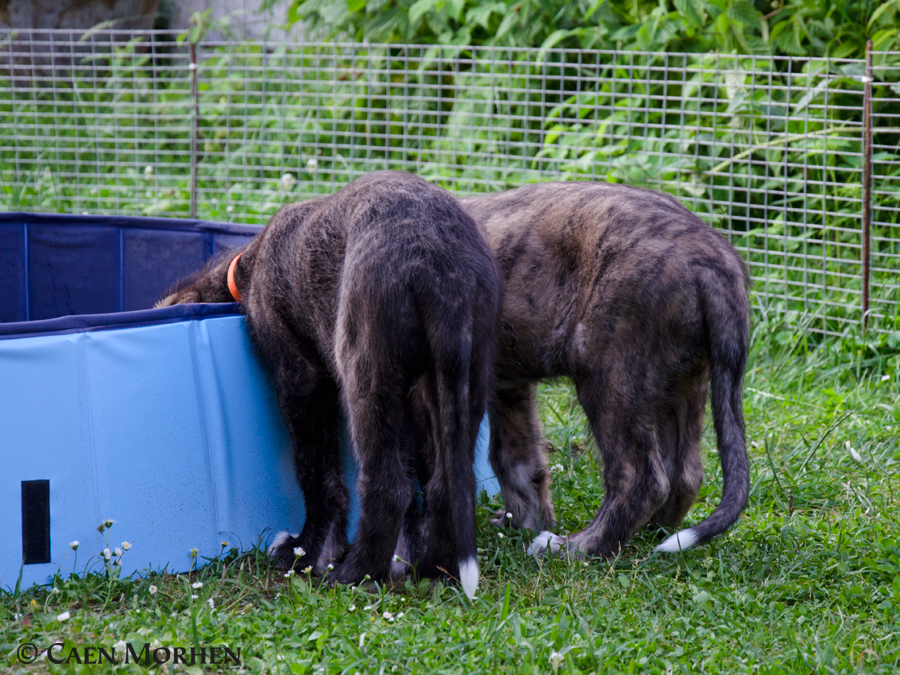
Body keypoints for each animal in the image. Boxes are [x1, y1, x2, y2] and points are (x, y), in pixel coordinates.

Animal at [158, 170, 502, 596]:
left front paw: (306, 551)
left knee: (388, 486)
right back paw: (434, 571)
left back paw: (354, 575)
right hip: (468, 372)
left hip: (364, 370)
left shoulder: (300, 378)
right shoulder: (413, 396)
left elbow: (317, 473)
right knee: (446, 485)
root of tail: (439, 259)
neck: (249, 265)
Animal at [460, 180, 748, 560]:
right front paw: (523, 524)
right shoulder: (509, 387)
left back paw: (576, 548)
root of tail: (713, 254)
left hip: (608, 374)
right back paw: (648, 535)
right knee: (685, 473)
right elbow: (516, 458)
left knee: (641, 478)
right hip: (683, 382)